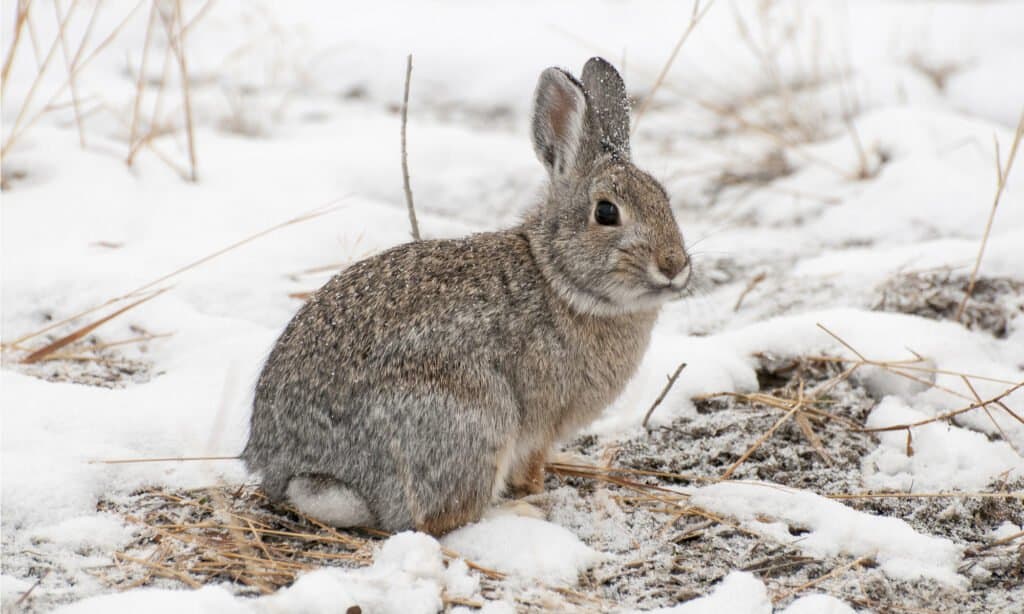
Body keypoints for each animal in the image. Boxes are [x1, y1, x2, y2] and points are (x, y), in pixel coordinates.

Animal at [240, 58, 692, 536]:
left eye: (665, 199)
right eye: (606, 212)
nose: (674, 265)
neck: (557, 276)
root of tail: (297, 469)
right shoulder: (539, 423)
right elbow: (529, 468)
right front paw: (537, 492)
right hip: (472, 421)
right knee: (440, 517)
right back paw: (521, 513)